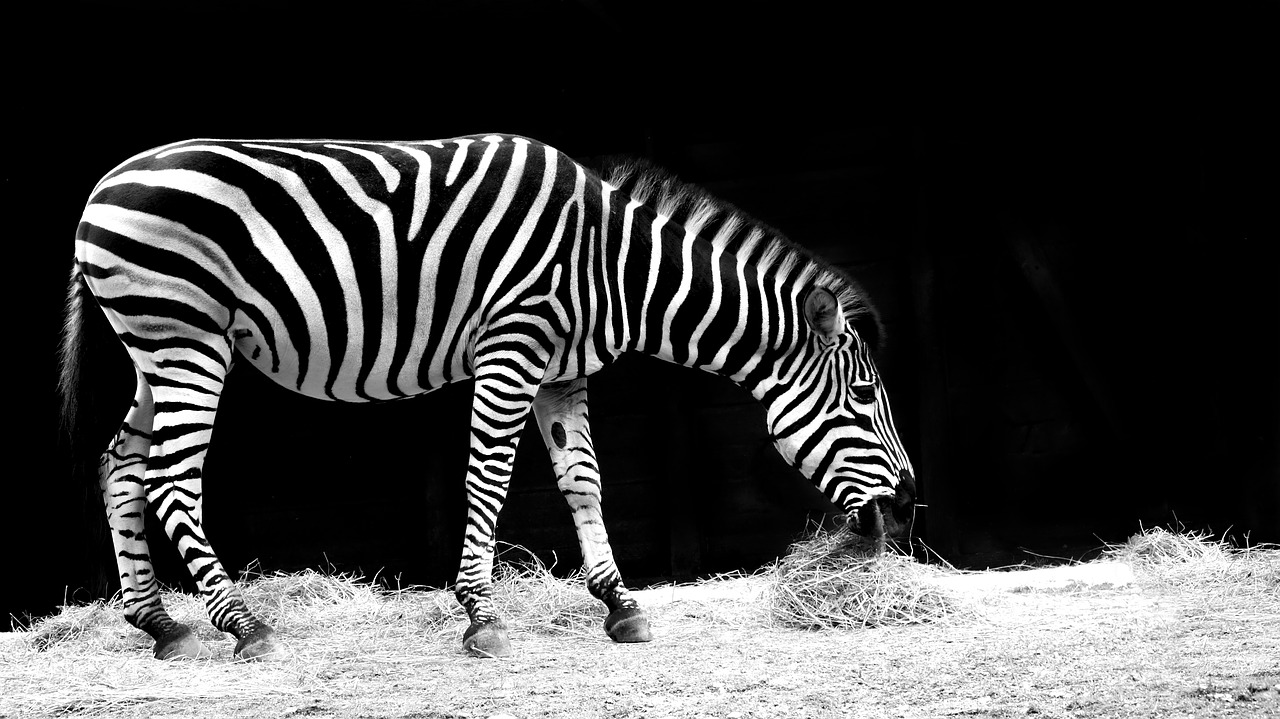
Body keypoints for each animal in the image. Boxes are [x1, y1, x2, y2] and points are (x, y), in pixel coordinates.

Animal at [62, 131, 921, 660]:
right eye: (863, 394)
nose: (908, 504)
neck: (614, 265)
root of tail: (102, 189)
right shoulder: (512, 346)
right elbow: (490, 479)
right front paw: (482, 613)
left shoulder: (561, 370)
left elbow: (584, 479)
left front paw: (620, 604)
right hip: (187, 338)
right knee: (171, 480)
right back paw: (245, 623)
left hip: (157, 348)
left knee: (118, 466)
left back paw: (161, 625)